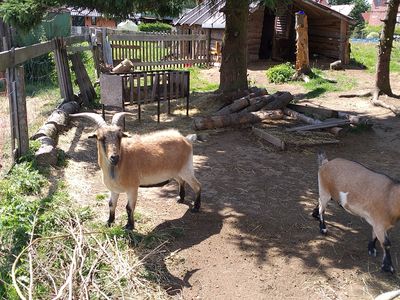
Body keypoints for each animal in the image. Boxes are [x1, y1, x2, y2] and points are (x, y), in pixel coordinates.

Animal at [69, 112, 202, 230]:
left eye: (119, 136)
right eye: (101, 138)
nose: (114, 157)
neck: (120, 164)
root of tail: (187, 139)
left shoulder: (132, 188)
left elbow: (129, 207)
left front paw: (129, 226)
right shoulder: (114, 190)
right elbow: (111, 204)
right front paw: (109, 222)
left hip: (186, 168)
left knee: (197, 185)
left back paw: (196, 207)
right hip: (175, 171)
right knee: (181, 181)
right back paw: (181, 199)